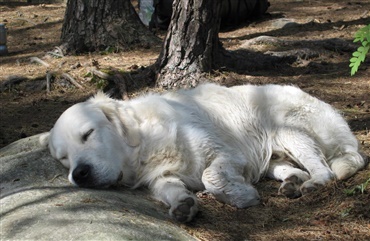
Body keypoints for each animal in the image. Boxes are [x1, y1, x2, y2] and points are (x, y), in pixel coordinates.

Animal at [39, 83, 364, 222]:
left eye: (88, 134)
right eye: (63, 158)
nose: (79, 174)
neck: (144, 143)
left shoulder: (229, 154)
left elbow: (210, 175)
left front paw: (242, 196)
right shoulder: (160, 176)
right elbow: (168, 188)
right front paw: (183, 204)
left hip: (288, 129)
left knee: (328, 165)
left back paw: (314, 182)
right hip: (275, 150)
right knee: (286, 166)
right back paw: (293, 182)